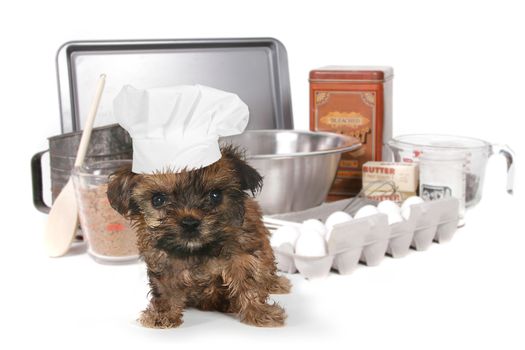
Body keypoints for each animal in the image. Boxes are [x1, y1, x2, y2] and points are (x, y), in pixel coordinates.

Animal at [106, 145, 290, 328]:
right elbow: (165, 290)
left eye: (215, 195)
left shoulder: (242, 255)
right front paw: (162, 315)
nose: (190, 223)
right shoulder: (162, 262)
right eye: (158, 199)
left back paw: (276, 283)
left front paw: (260, 312)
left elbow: (248, 281)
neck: (197, 251)